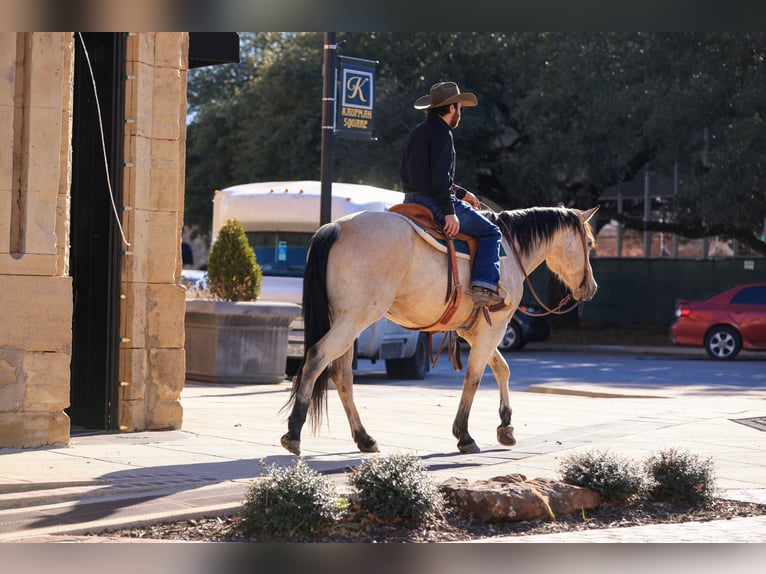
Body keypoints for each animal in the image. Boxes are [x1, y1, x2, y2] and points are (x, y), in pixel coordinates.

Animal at [282, 205, 600, 456]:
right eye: (589, 243)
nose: (591, 288)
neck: (510, 253)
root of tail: (335, 227)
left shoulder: (474, 330)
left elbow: (502, 369)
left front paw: (506, 426)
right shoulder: (494, 328)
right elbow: (474, 378)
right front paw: (465, 435)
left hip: (346, 322)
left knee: (342, 376)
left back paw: (364, 438)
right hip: (353, 320)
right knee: (315, 358)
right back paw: (293, 434)